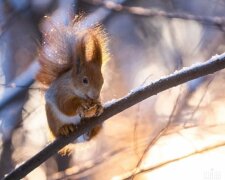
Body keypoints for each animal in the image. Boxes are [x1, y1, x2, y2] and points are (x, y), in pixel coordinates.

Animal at [35, 16, 108, 155]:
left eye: (102, 81)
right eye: (85, 80)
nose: (95, 95)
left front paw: (99, 106)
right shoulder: (61, 92)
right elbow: (65, 105)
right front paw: (80, 105)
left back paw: (90, 128)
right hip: (52, 118)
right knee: (58, 130)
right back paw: (65, 128)